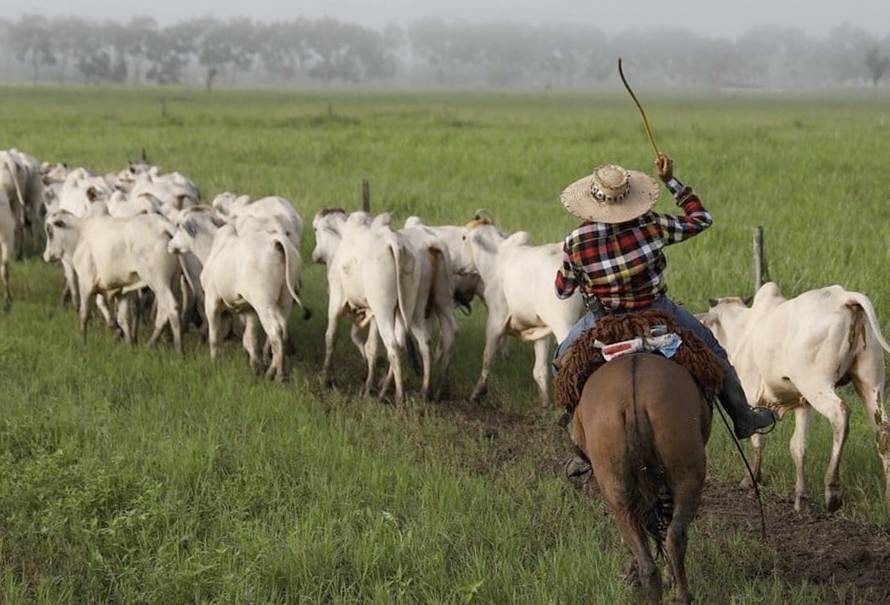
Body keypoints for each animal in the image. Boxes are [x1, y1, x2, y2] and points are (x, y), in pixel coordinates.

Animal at [43, 208, 182, 350]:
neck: (79, 236)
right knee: (164, 311)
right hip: (172, 282)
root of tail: (162, 225)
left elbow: (84, 314)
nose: (46, 255)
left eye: (49, 230)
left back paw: (176, 349)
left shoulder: (86, 283)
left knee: (170, 309)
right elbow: (122, 318)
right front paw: (129, 344)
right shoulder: (121, 290)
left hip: (158, 283)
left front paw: (83, 342)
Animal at [167, 206, 308, 378]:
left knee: (275, 331)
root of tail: (276, 243)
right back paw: (271, 370)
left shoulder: (212, 301)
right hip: (285, 299)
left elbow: (214, 336)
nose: (170, 244)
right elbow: (250, 340)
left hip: (264, 303)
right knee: (282, 328)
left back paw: (279, 375)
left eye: (180, 226)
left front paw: (214, 361)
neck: (212, 248)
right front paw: (255, 366)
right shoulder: (249, 309)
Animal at [458, 217, 584, 406]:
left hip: (565, 327)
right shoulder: (540, 329)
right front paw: (545, 402)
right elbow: (539, 370)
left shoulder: (495, 321)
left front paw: (477, 392)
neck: (496, 259)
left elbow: (487, 357)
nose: (459, 267)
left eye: (464, 237)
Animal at [572, 352, 712, 600]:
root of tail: (631, 399)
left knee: (650, 539)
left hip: (626, 491)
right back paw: (676, 592)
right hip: (684, 479)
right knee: (672, 535)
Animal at [700, 284, 888, 516]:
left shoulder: (751, 395)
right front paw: (800, 497)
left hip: (816, 384)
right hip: (871, 385)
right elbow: (798, 447)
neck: (742, 329)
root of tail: (843, 297)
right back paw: (888, 498)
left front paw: (752, 479)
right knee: (883, 432)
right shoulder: (802, 404)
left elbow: (757, 438)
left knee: (840, 415)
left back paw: (832, 490)